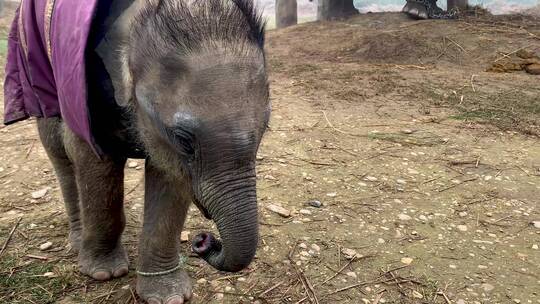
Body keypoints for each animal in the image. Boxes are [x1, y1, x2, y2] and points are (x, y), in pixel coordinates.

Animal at [6, 0, 270, 304]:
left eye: (266, 127)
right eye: (184, 140)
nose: (203, 240)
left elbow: (169, 176)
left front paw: (168, 296)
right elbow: (94, 160)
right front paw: (104, 273)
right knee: (58, 149)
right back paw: (77, 240)